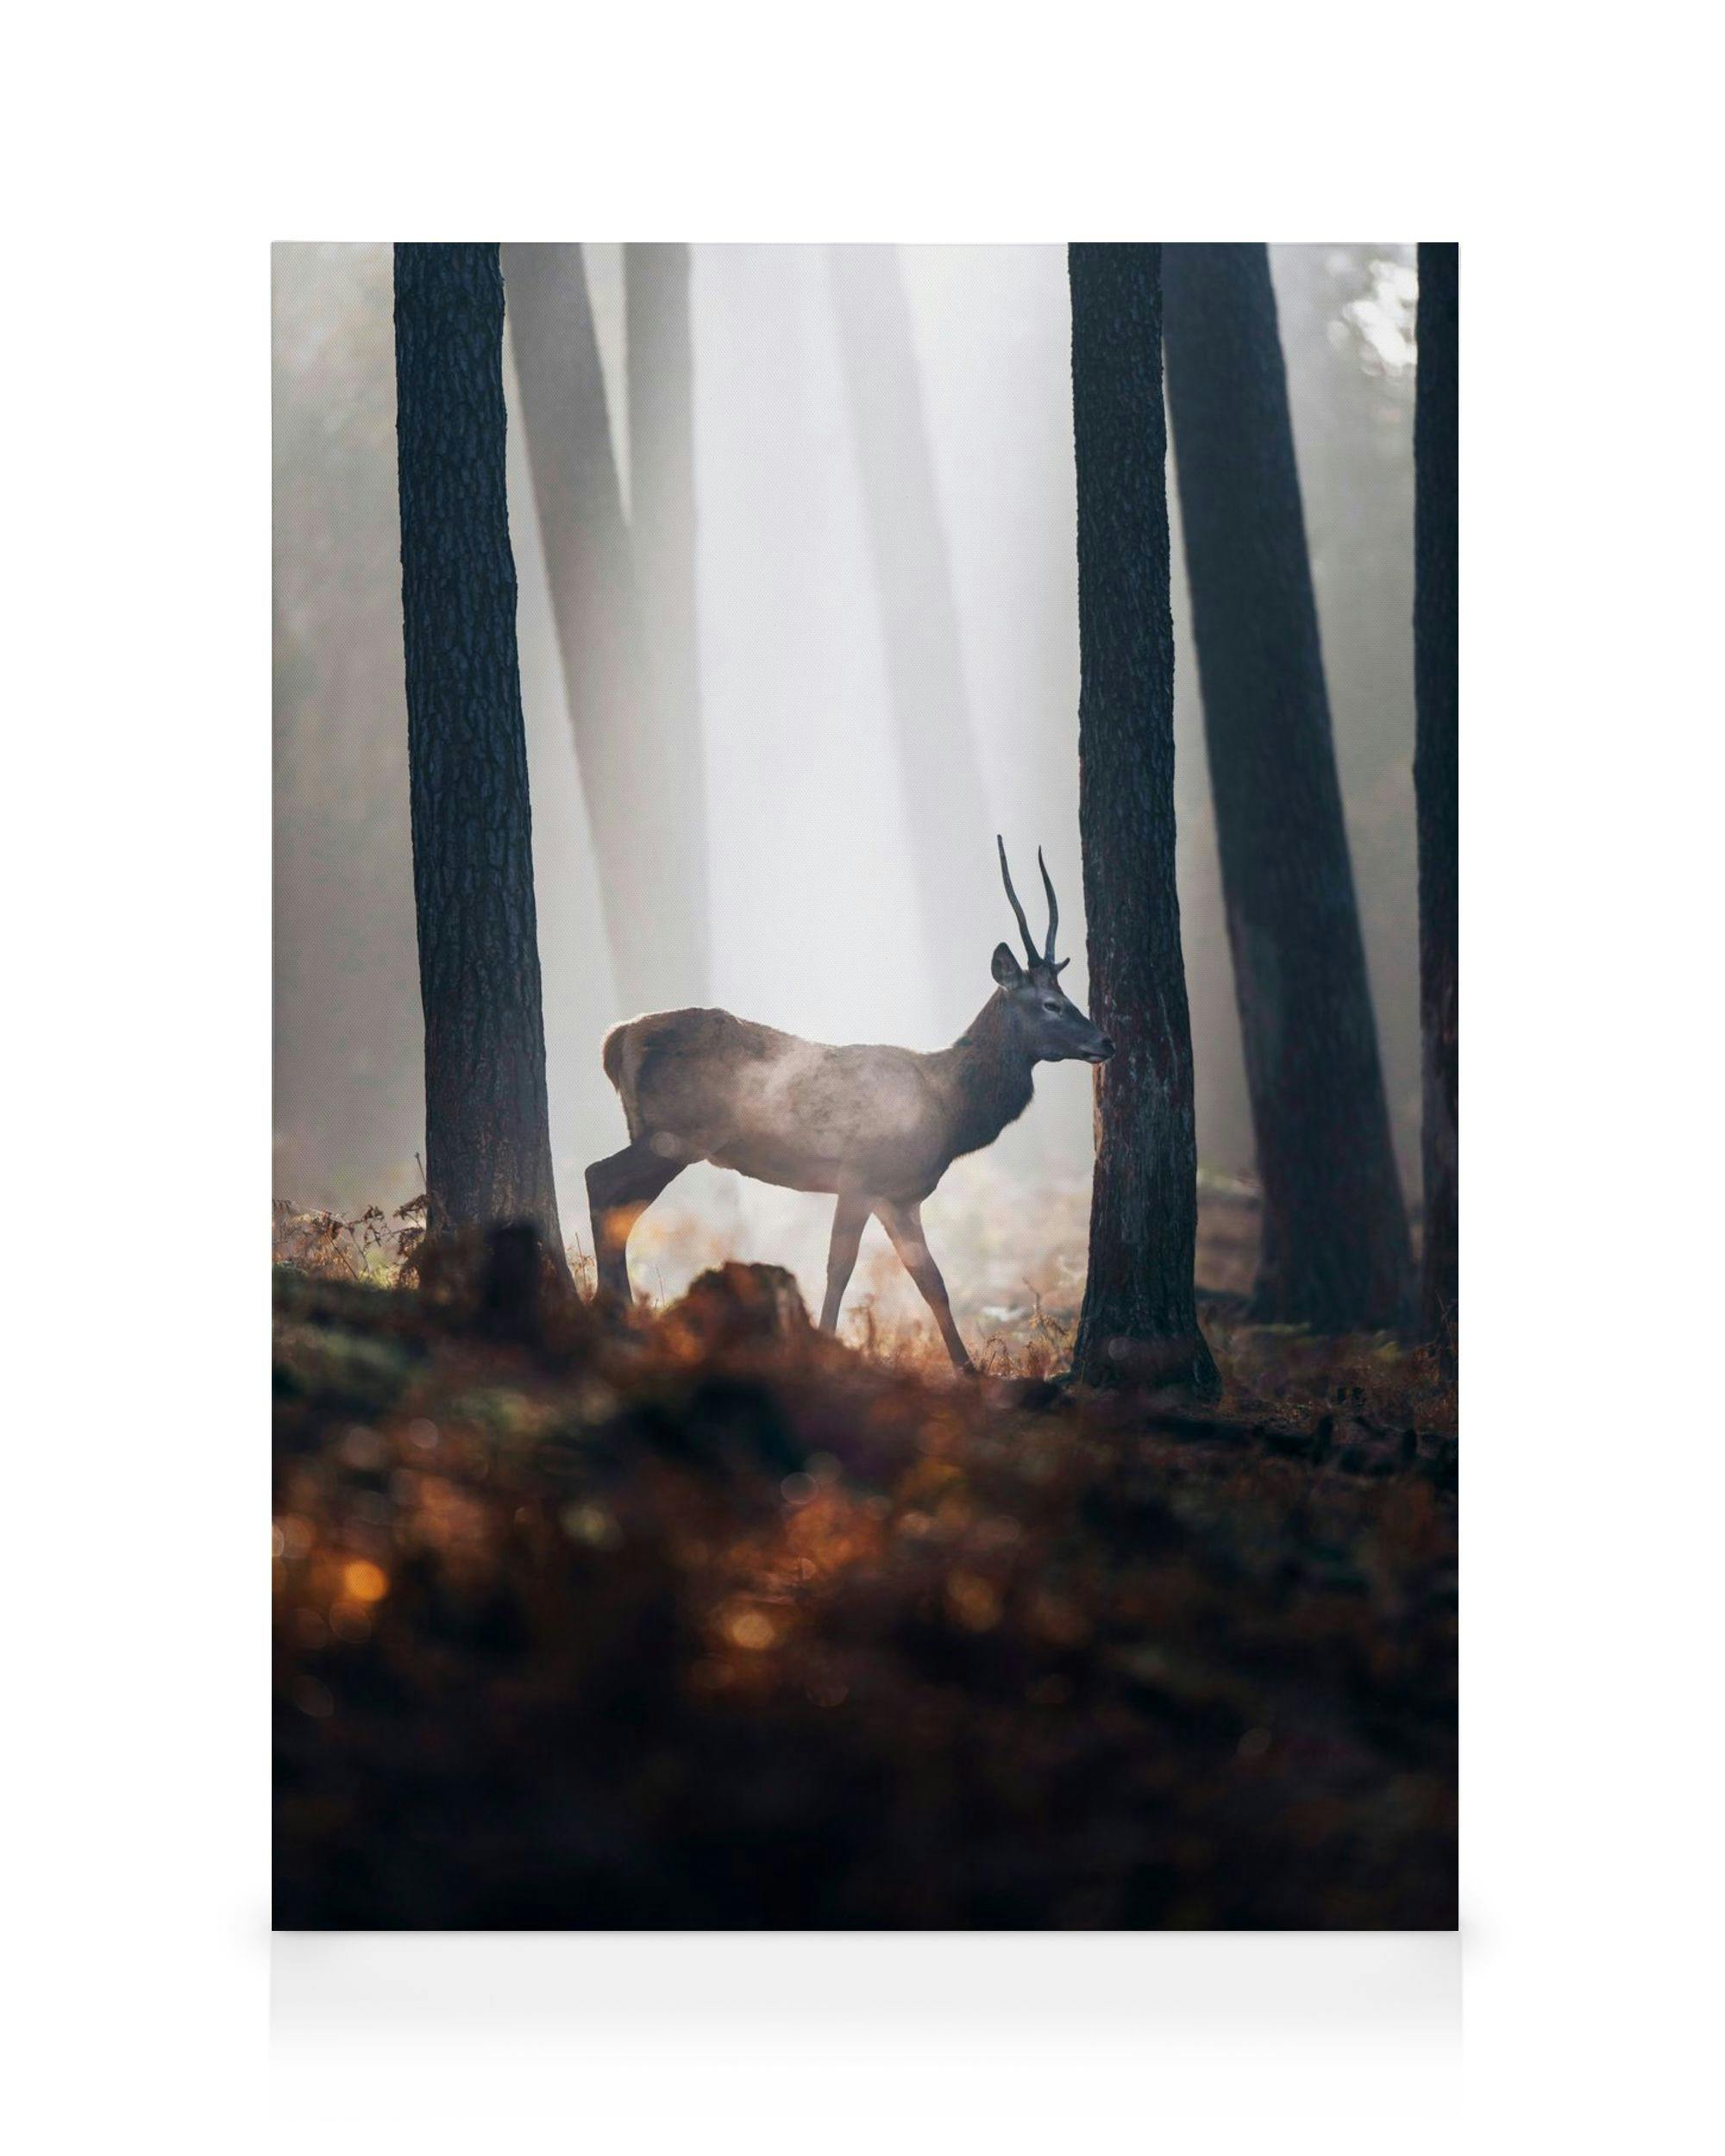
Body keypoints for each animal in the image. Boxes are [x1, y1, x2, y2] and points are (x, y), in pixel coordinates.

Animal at [586, 839, 1113, 1372]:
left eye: (1066, 995)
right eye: (1051, 1004)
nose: (1105, 1041)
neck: (949, 1109)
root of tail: (617, 1038)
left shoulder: (899, 1196)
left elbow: (933, 1282)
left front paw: (968, 1370)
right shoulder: (860, 1174)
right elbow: (840, 1267)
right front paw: (824, 1347)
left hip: (661, 1133)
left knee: (619, 1203)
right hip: (678, 1132)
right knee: (599, 1178)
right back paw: (612, 1314)